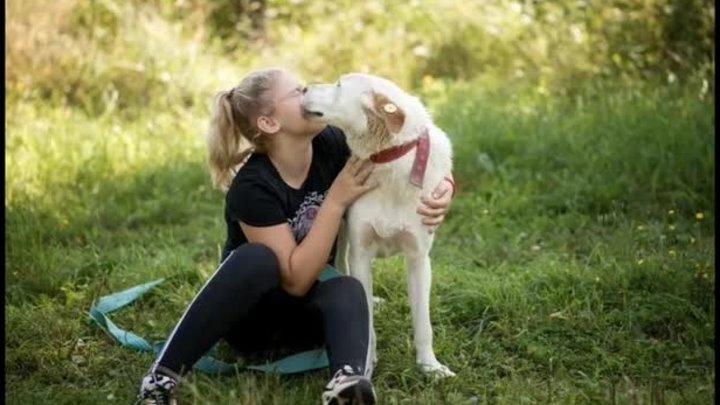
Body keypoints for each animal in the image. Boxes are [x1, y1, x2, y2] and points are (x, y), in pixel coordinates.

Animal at [300, 72, 452, 376]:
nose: (303, 87)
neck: (387, 159)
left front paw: (429, 366)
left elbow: (423, 323)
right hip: (340, 232)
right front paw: (366, 365)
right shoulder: (361, 252)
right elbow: (364, 319)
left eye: (338, 86)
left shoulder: (418, 258)